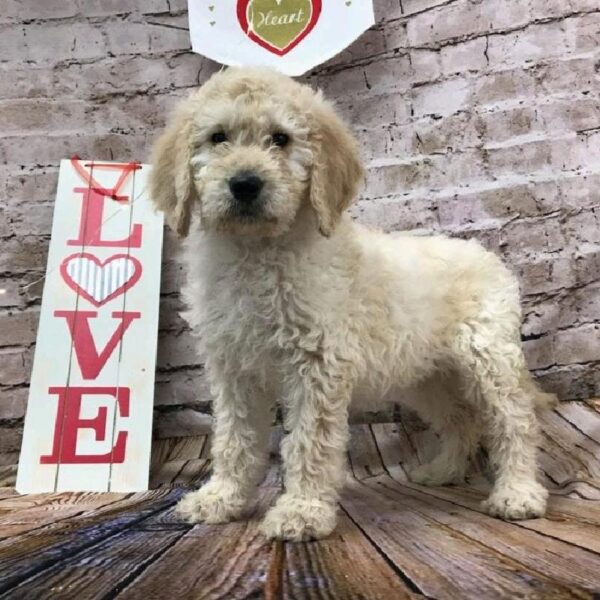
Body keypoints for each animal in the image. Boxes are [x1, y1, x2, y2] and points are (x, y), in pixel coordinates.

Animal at [149, 68, 552, 540]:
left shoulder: (318, 363)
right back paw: (442, 471)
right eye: (218, 137)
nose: (245, 184)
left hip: (488, 359)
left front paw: (301, 511)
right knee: (459, 420)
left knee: (515, 422)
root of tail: (488, 255)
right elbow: (233, 438)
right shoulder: (234, 369)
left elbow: (308, 440)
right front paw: (221, 499)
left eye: (281, 139)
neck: (256, 253)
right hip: (427, 376)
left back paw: (518, 493)